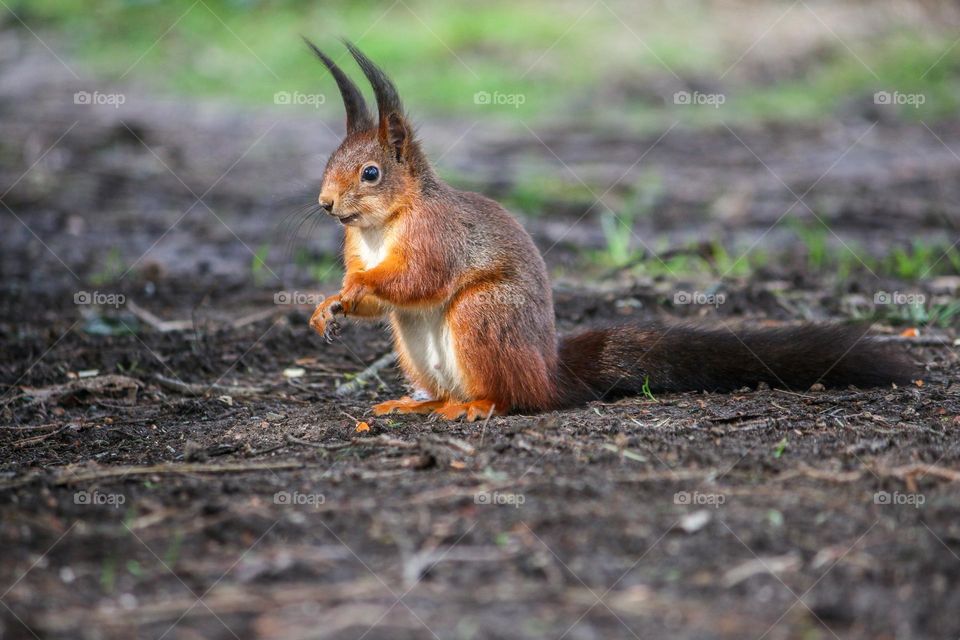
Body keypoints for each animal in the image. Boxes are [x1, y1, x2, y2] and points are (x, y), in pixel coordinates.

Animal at [302, 40, 916, 420]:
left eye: (371, 172)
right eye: (329, 160)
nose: (325, 204)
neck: (383, 225)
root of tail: (548, 373)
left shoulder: (438, 237)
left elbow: (418, 278)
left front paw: (355, 290)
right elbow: (375, 293)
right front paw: (331, 301)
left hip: (484, 316)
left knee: (512, 395)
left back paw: (476, 404)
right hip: (413, 344)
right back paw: (419, 403)